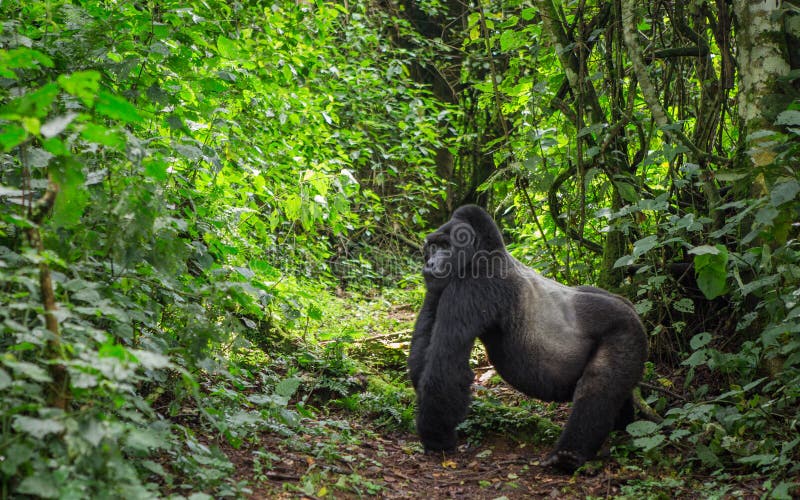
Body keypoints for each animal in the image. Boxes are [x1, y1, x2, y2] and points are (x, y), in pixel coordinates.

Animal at [410, 205, 648, 470]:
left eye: (445, 246)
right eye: (432, 246)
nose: (430, 263)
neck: (482, 251)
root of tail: (632, 310)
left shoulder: (473, 285)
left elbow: (446, 369)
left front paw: (437, 439)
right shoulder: (439, 287)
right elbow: (422, 355)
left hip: (625, 332)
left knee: (598, 385)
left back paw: (568, 456)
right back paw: (621, 427)